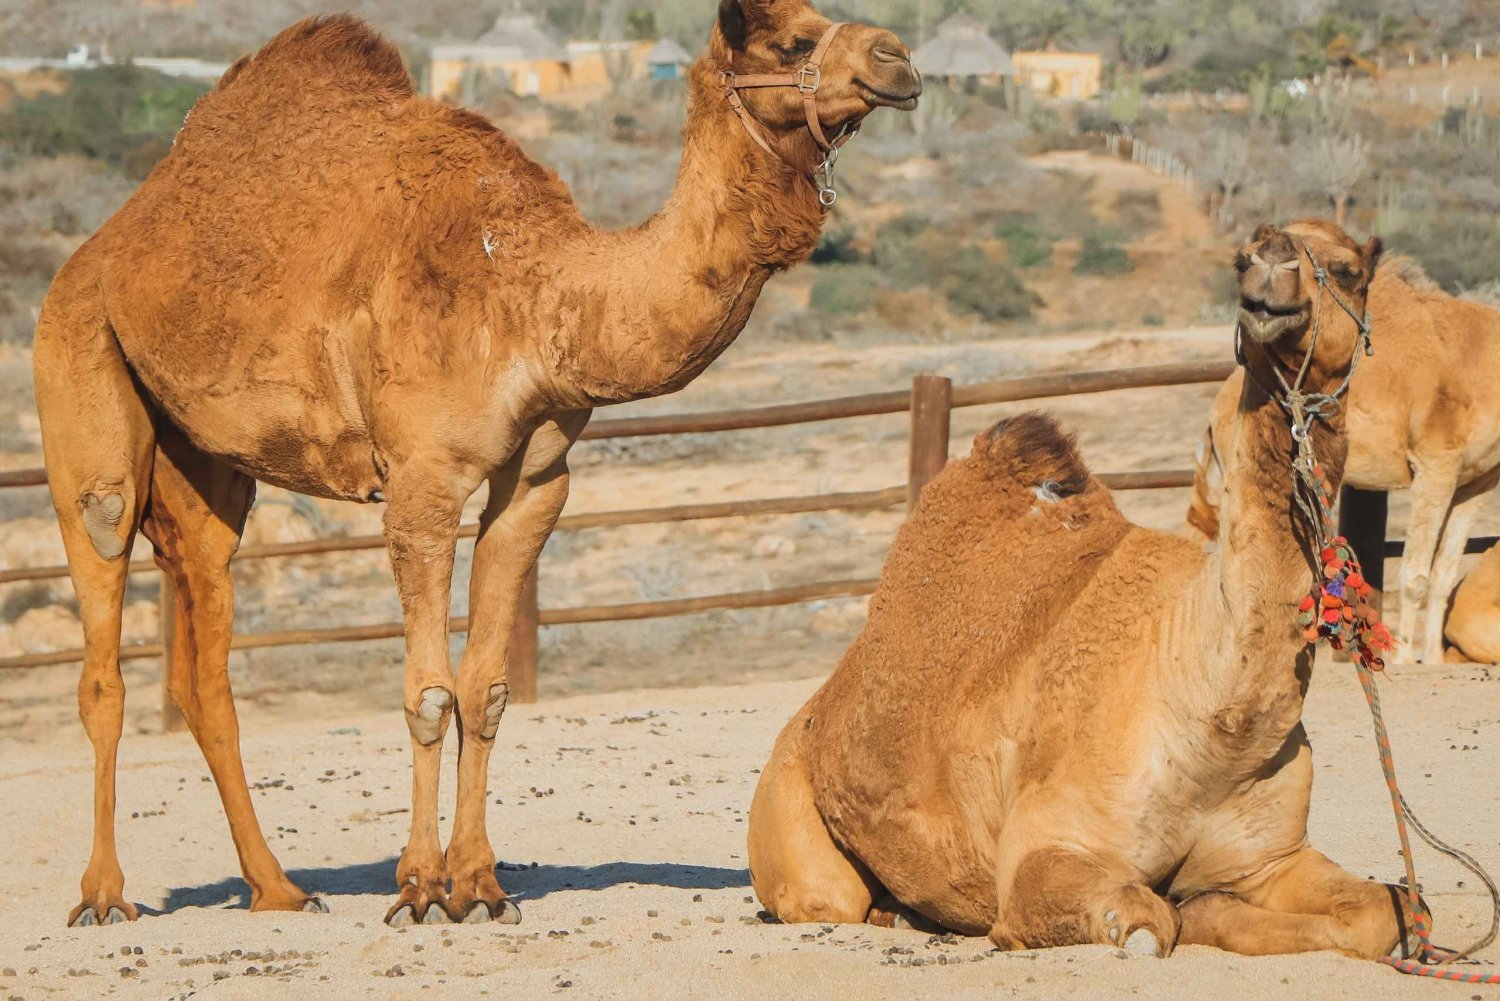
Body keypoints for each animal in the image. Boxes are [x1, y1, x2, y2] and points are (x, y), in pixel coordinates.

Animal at [33, 3, 920, 927]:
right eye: (790, 39)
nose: (899, 60)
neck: (537, 294)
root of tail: (105, 242)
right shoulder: (421, 478)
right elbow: (428, 693)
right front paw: (420, 888)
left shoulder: (535, 481)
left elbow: (486, 688)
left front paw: (481, 884)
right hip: (82, 372)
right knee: (102, 606)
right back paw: (105, 895)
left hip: (205, 463)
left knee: (206, 650)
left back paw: (277, 888)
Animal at [748, 221, 1420, 960]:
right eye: (1241, 256)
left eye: (1348, 268)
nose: (1269, 270)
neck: (1211, 721)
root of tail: (812, 714)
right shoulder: (1048, 852)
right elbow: (1149, 924)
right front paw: (1187, 912)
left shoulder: (1271, 857)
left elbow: (1385, 911)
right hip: (792, 825)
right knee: (828, 896)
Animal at [1187, 260, 1500, 664]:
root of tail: (1218, 408)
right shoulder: (1436, 464)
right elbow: (1415, 575)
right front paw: (1403, 658)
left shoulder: (1479, 480)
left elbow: (1445, 573)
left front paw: (1431, 659)